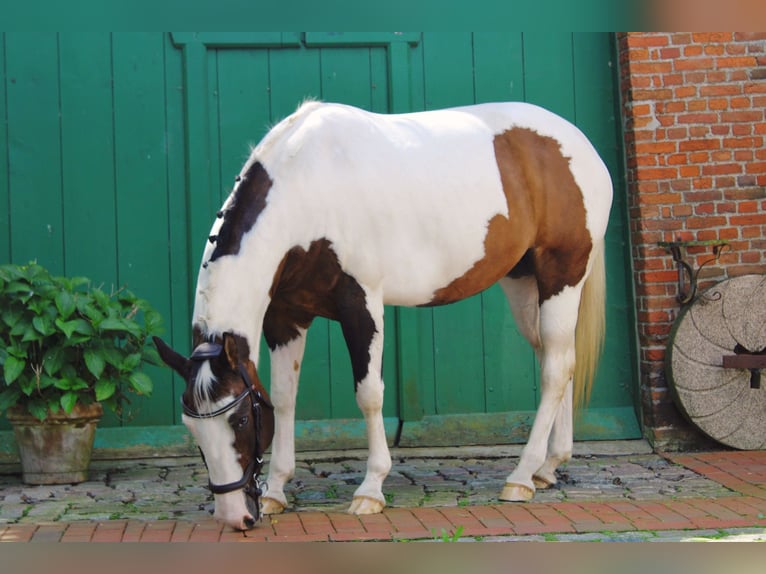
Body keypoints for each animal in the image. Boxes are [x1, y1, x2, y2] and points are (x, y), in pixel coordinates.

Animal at [153, 101, 616, 532]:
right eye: (192, 429)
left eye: (241, 418)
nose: (235, 516)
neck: (307, 185)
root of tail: (580, 145)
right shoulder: (287, 317)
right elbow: (285, 399)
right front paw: (276, 491)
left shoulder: (361, 304)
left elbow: (369, 394)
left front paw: (371, 489)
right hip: (524, 284)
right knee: (559, 360)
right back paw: (547, 467)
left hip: (562, 276)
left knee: (555, 369)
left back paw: (521, 477)